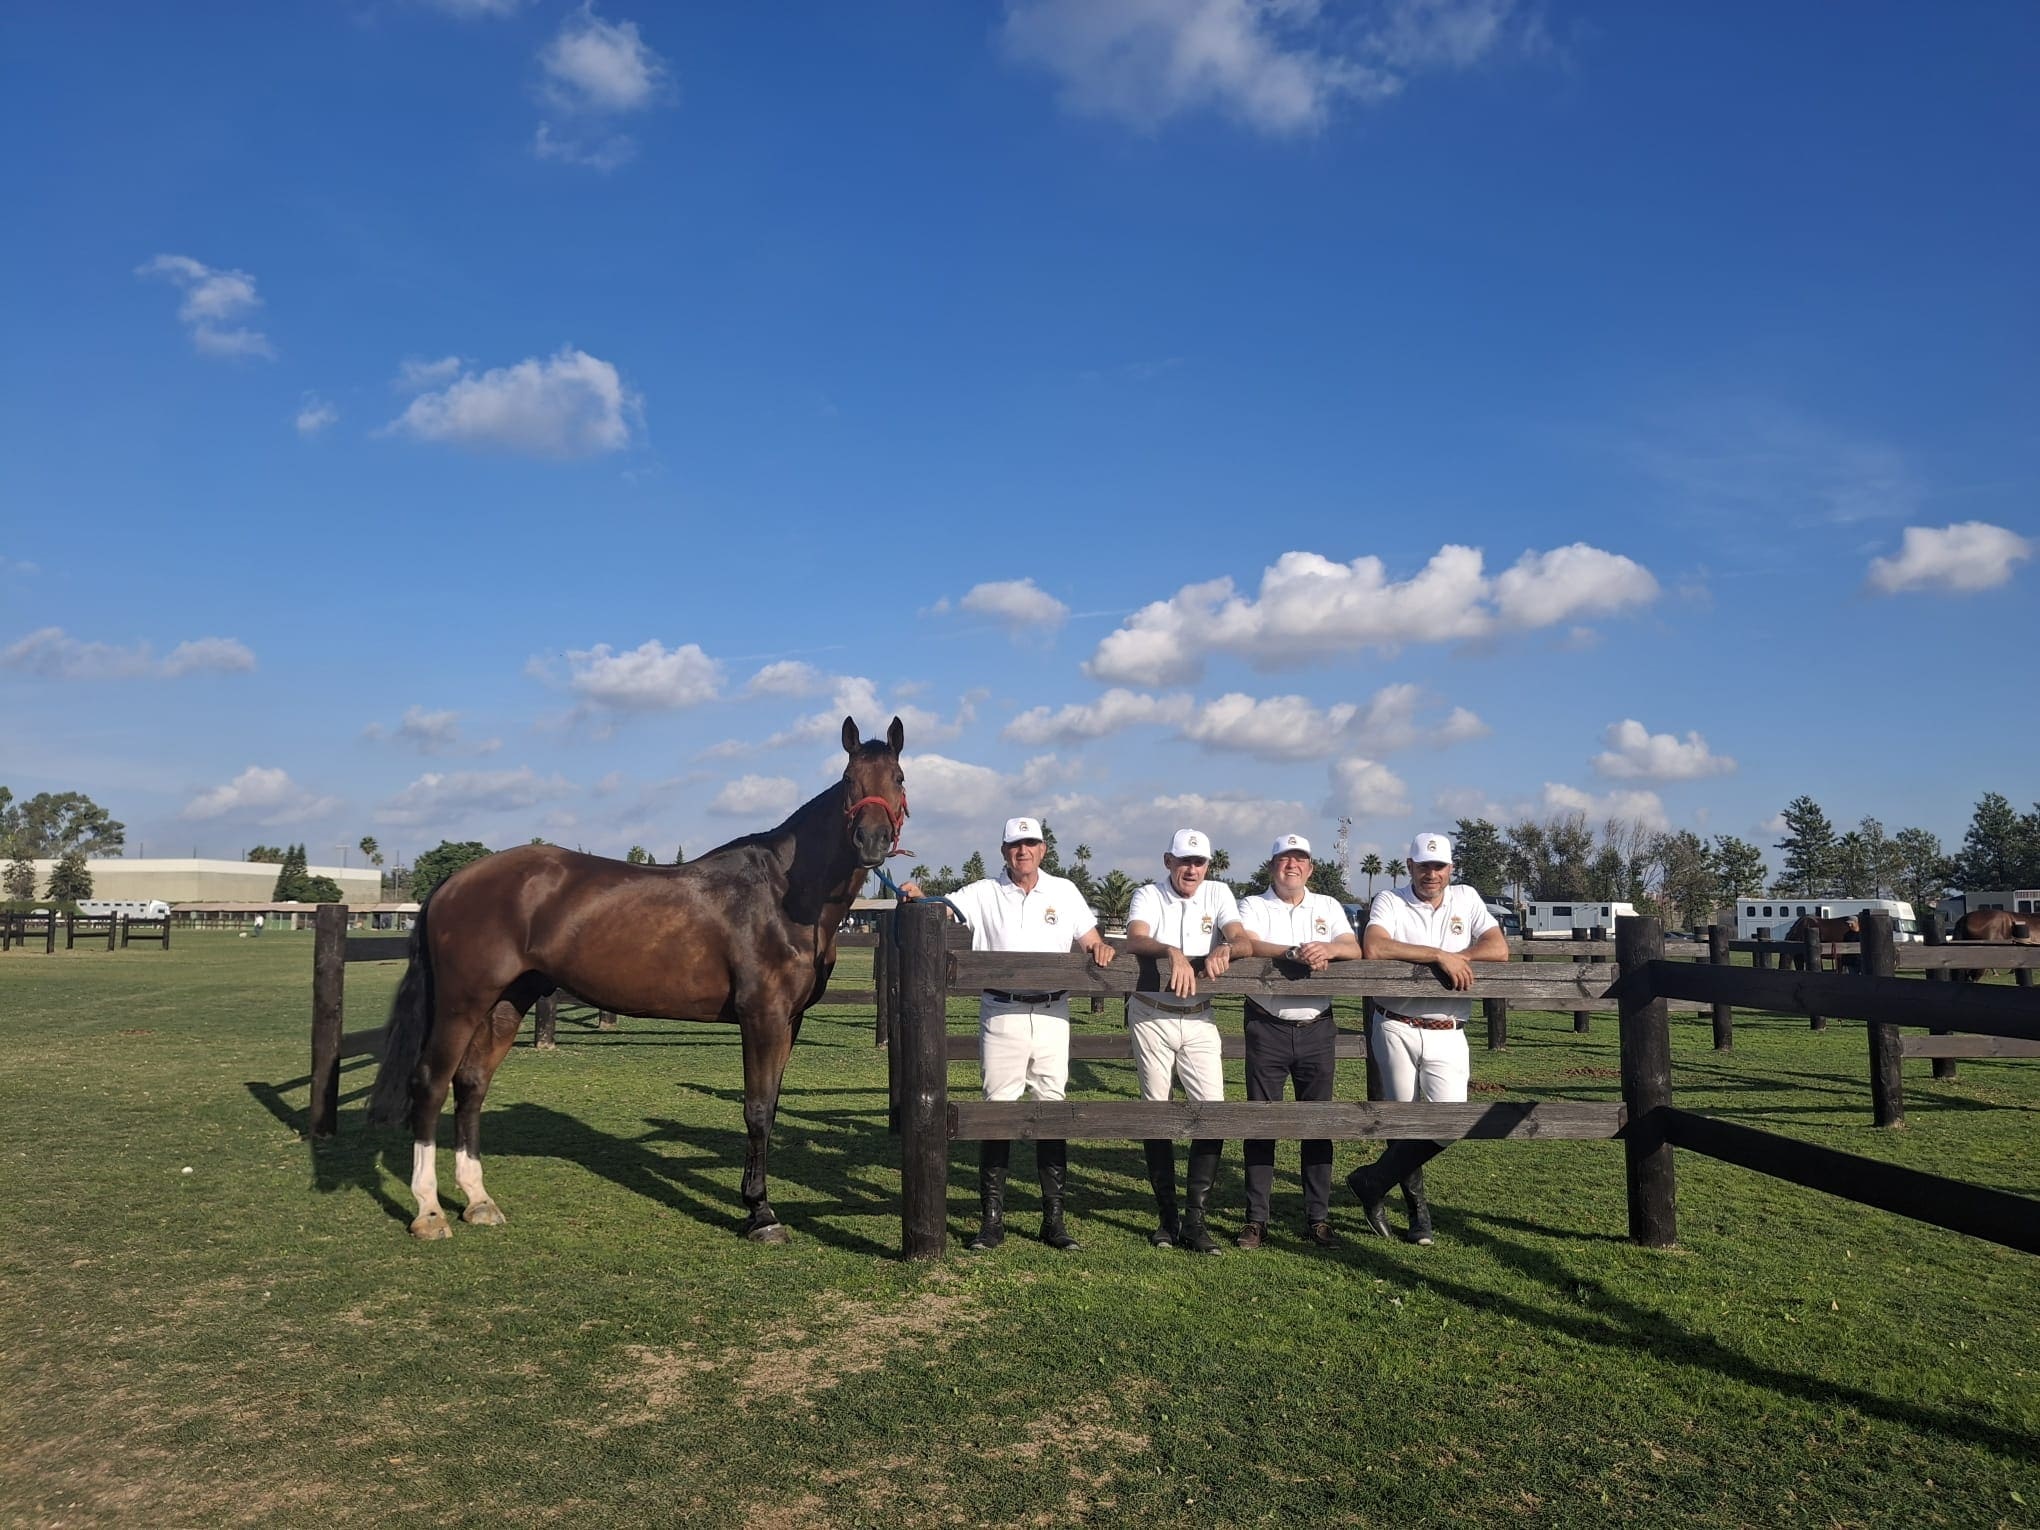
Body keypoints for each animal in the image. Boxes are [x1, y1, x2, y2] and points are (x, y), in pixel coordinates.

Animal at [369, 718, 909, 1248]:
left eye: (898, 779)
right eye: (848, 781)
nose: (872, 840)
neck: (783, 896)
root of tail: (454, 882)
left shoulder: (789, 1022)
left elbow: (771, 1110)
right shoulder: (763, 1018)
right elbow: (756, 1110)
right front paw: (760, 1214)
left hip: (506, 1002)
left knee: (472, 1084)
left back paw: (479, 1201)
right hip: (460, 1004)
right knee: (431, 1084)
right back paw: (429, 1211)